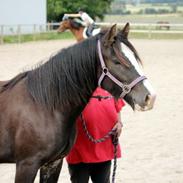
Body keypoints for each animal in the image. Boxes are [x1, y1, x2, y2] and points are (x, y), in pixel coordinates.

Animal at [0, 24, 156, 183]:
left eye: (135, 58)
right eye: (117, 61)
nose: (150, 97)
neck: (43, 106)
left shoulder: (53, 163)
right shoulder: (27, 165)